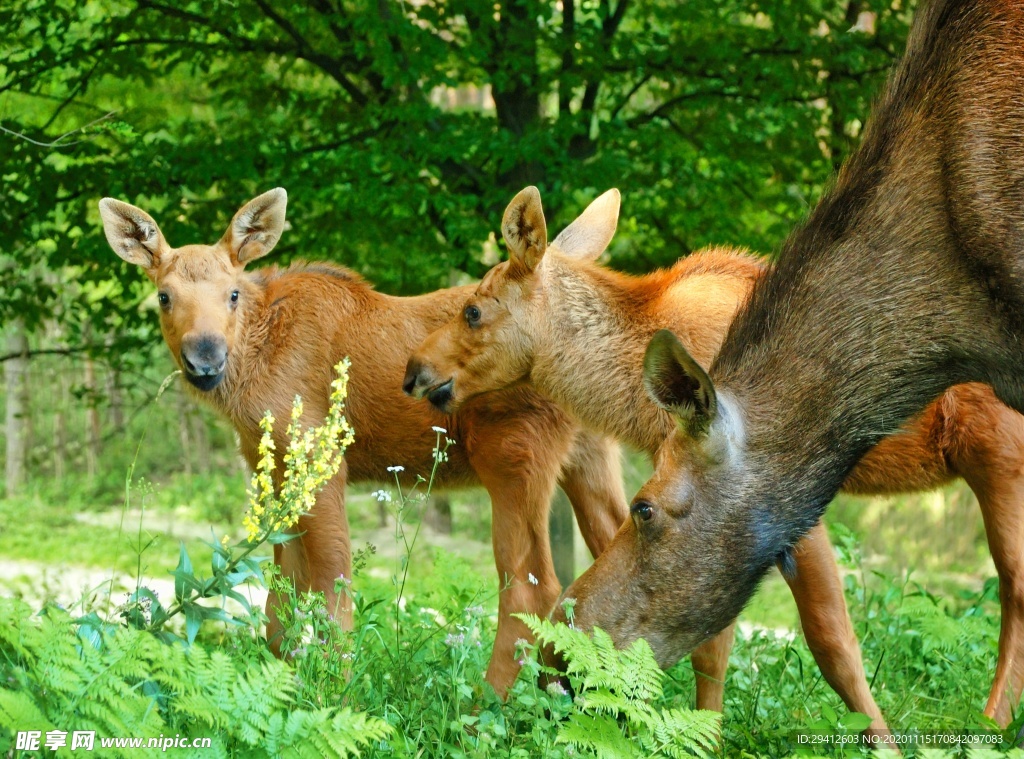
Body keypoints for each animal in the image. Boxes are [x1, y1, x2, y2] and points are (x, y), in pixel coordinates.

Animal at [97, 188, 622, 692]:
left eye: (231, 294)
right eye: (164, 296)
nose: (205, 358)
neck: (255, 360)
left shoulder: (321, 455)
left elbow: (332, 584)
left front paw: (336, 693)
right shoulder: (277, 466)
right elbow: (280, 601)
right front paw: (286, 680)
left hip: (513, 454)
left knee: (533, 588)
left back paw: (486, 707)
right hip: (590, 455)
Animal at [401, 186, 1024, 725]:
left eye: (473, 310)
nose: (414, 369)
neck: (634, 385)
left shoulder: (782, 493)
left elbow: (830, 639)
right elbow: (707, 640)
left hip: (998, 454)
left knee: (1013, 588)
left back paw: (992, 723)